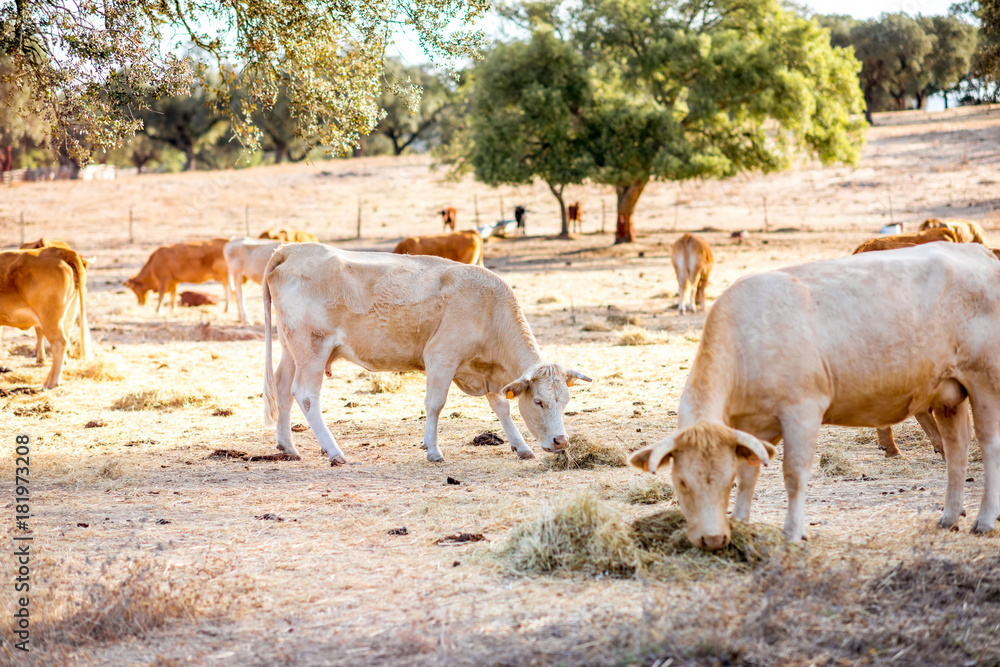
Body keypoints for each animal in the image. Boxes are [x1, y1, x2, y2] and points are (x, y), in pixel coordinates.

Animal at [260, 243, 592, 468]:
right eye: (538, 402)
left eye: (565, 402)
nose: (561, 441)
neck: (489, 309)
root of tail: (292, 249)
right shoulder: (441, 358)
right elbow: (435, 405)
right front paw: (433, 450)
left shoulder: (487, 372)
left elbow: (502, 408)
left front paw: (521, 447)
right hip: (313, 349)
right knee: (306, 396)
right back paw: (335, 452)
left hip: (292, 349)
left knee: (283, 388)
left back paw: (288, 447)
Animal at [632, 243, 1000, 552]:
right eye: (681, 482)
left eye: (725, 481)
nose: (711, 539)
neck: (746, 340)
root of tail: (980, 252)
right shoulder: (752, 426)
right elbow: (750, 474)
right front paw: (742, 524)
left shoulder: (802, 411)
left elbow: (794, 476)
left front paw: (793, 533)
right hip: (948, 393)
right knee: (957, 448)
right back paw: (950, 516)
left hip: (985, 379)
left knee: (989, 445)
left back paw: (984, 520)